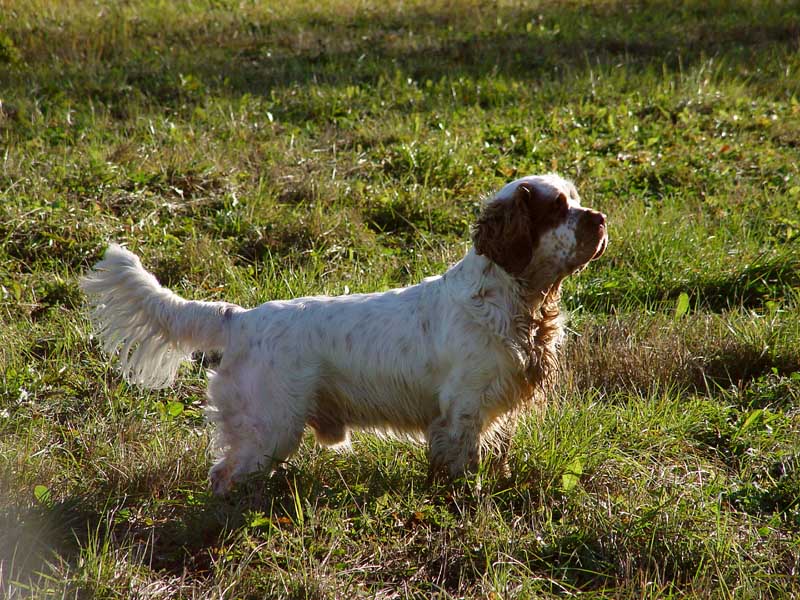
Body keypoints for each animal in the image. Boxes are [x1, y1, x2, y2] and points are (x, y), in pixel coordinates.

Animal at [81, 174, 607, 495]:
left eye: (577, 200)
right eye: (557, 208)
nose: (600, 218)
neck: (510, 301)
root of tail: (242, 319)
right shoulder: (462, 412)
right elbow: (458, 468)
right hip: (270, 427)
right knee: (222, 474)